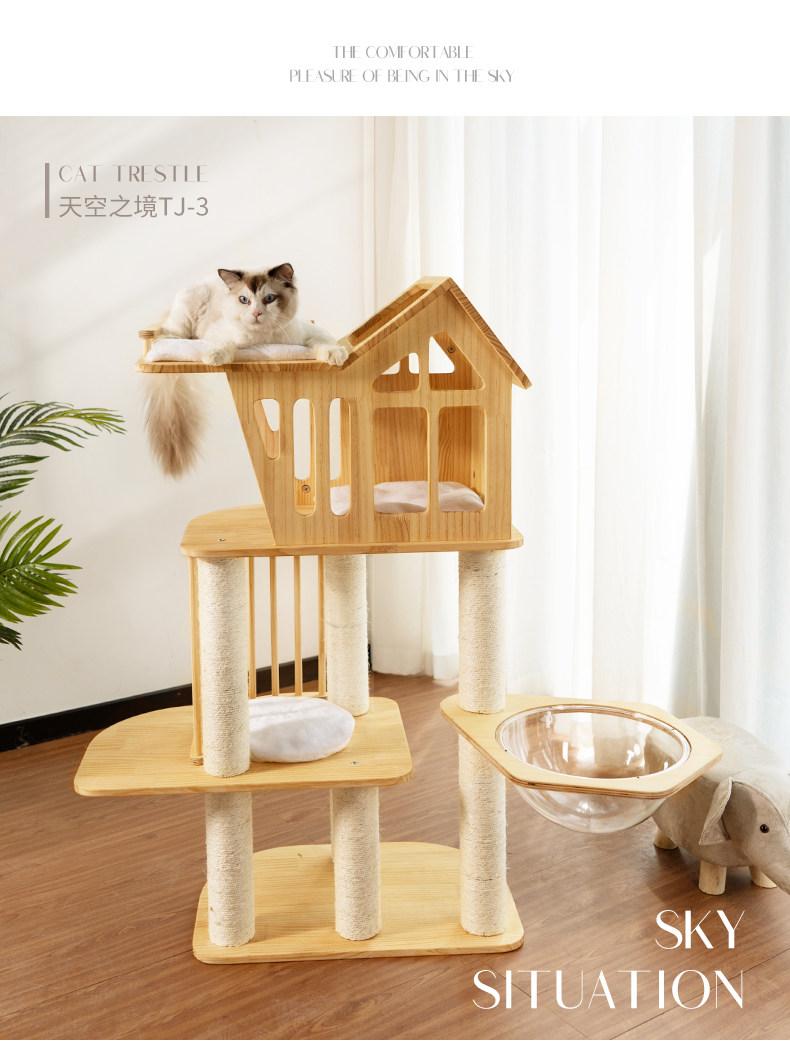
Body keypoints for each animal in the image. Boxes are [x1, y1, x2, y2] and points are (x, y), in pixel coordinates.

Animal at [143, 264, 347, 477]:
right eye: (244, 300)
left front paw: (336, 355)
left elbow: (325, 342)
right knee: (168, 334)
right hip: (187, 314)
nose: (256, 313)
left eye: (269, 298)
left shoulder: (309, 333)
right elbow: (224, 344)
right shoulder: (220, 334)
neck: (263, 339)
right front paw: (214, 357)